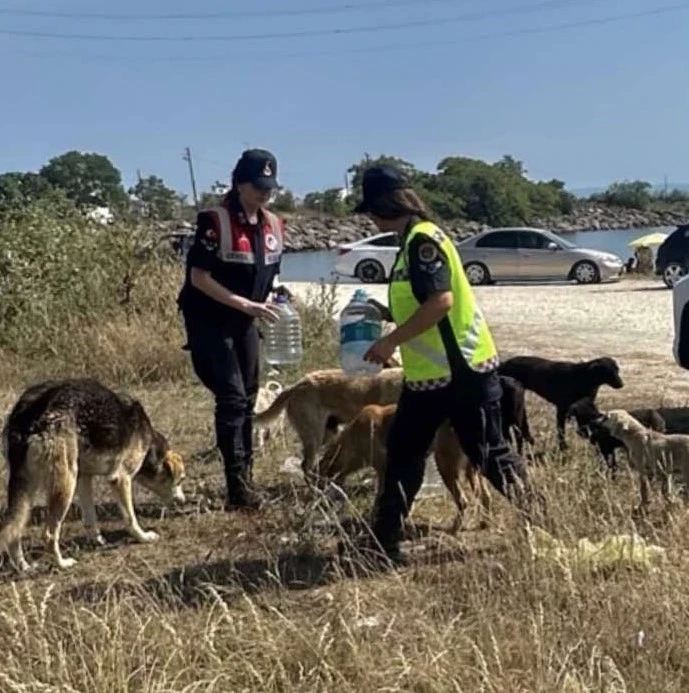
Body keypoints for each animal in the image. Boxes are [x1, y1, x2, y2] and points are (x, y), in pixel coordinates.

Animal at [0, 376, 187, 572]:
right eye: (181, 479)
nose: (183, 501)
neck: (149, 443)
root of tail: (28, 413)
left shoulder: (84, 478)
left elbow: (90, 517)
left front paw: (97, 540)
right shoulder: (121, 478)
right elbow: (131, 518)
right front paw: (142, 537)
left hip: (28, 486)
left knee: (13, 529)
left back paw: (24, 566)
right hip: (65, 483)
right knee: (49, 534)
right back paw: (61, 563)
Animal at [316, 402, 490, 532]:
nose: (315, 502)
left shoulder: (384, 470)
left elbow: (381, 497)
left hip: (445, 466)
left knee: (463, 501)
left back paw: (454, 528)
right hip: (472, 471)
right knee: (485, 496)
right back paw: (484, 523)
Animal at [494, 356, 624, 448]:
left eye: (617, 370)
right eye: (609, 372)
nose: (622, 384)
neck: (584, 377)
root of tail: (504, 363)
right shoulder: (562, 409)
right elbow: (561, 431)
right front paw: (563, 448)